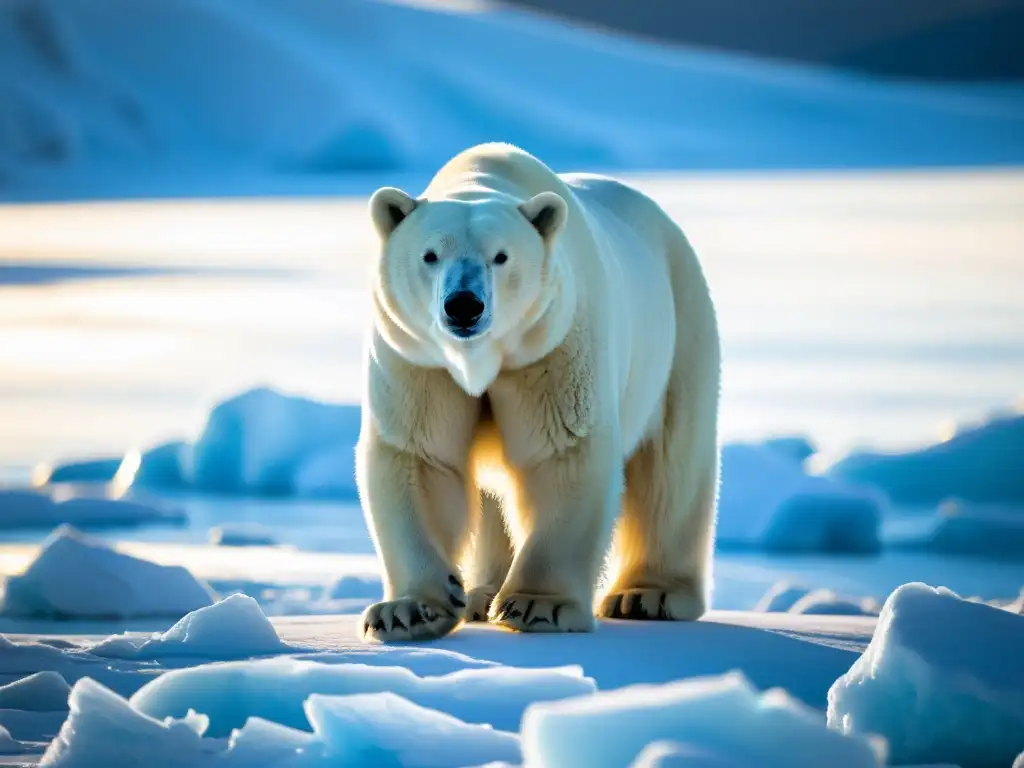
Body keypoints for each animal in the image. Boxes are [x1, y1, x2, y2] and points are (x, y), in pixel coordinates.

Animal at [358, 140, 720, 643]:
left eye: (501, 256)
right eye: (430, 255)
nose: (464, 305)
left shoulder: (552, 347)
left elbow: (561, 452)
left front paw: (538, 605)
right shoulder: (419, 360)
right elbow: (421, 457)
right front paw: (408, 611)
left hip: (681, 331)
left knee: (672, 465)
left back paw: (649, 596)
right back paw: (482, 594)